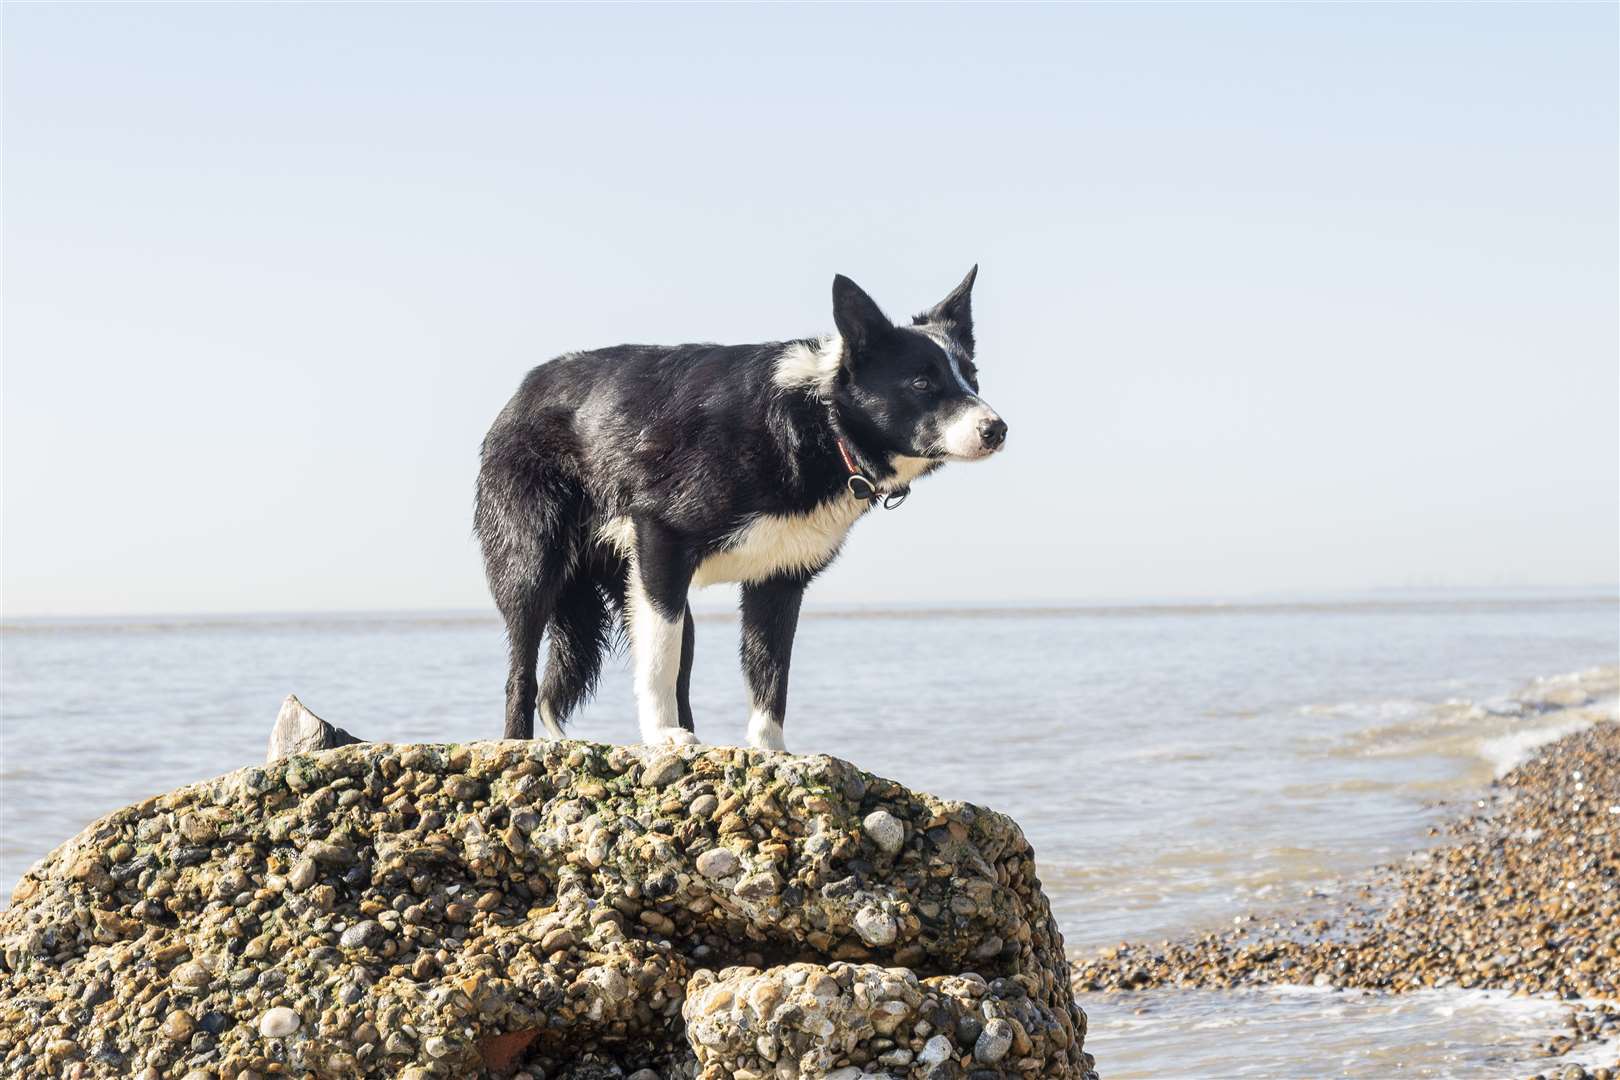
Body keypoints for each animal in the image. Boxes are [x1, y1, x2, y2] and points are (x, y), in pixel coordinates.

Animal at [473, 268, 997, 751]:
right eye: (922, 382)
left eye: (972, 379)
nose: (997, 429)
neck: (821, 421)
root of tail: (526, 389)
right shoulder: (661, 537)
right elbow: (658, 660)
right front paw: (661, 735)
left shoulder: (779, 580)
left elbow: (770, 679)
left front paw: (772, 753)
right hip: (537, 564)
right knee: (523, 674)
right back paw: (518, 741)